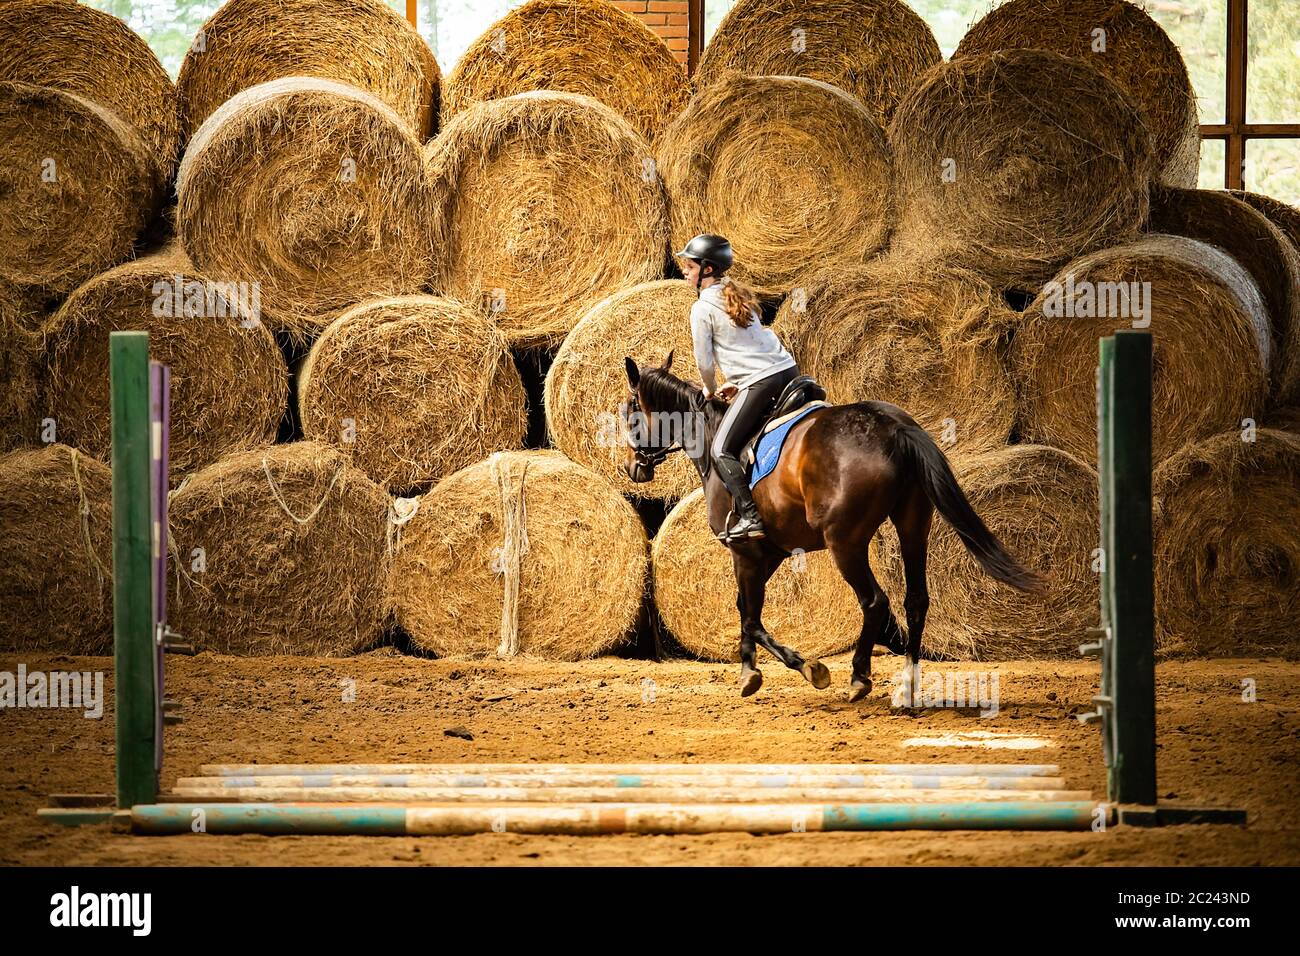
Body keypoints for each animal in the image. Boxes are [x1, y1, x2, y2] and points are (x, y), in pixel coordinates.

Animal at [621, 351, 1045, 702]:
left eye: (629, 412)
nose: (632, 467)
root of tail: (891, 426)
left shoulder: (745, 550)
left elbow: (750, 615)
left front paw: (805, 667)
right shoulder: (770, 552)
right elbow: (747, 609)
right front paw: (749, 671)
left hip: (845, 542)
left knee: (875, 601)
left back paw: (859, 678)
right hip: (913, 525)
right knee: (916, 600)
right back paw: (907, 686)